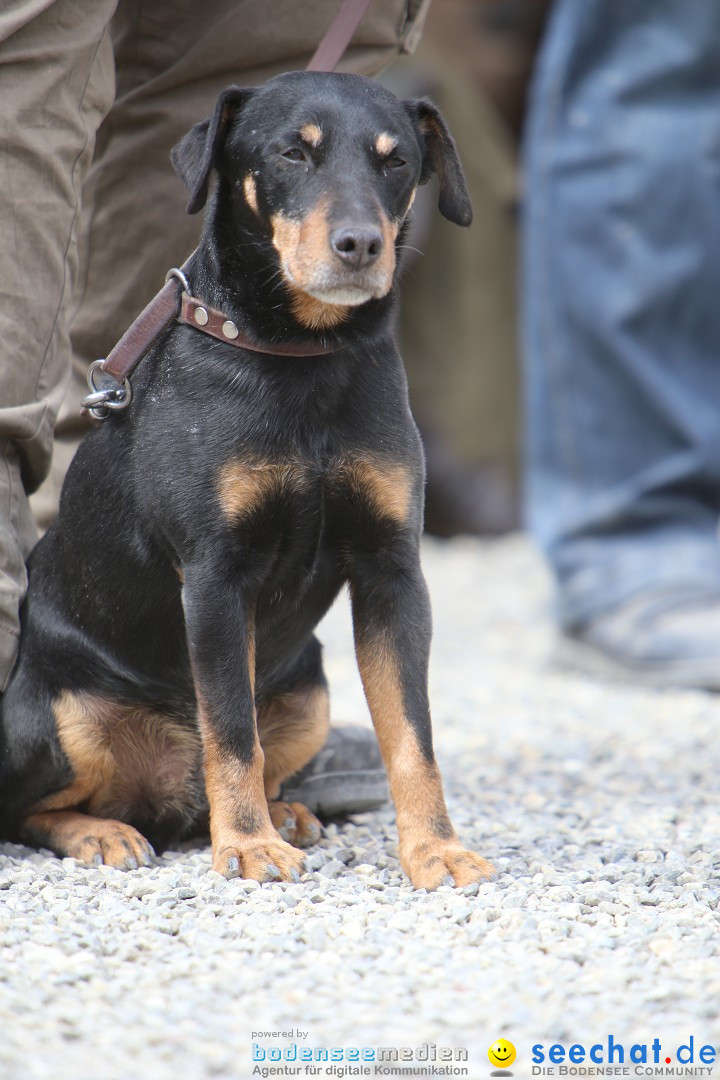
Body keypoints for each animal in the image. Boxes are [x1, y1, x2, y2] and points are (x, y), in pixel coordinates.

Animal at [0, 71, 496, 889]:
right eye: (293, 152)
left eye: (397, 161)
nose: (360, 246)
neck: (303, 356)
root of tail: (164, 804)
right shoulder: (215, 575)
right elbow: (230, 730)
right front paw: (248, 847)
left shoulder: (392, 570)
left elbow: (412, 735)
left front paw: (436, 849)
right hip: (64, 712)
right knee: (34, 808)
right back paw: (107, 833)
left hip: (310, 691)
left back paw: (283, 811)